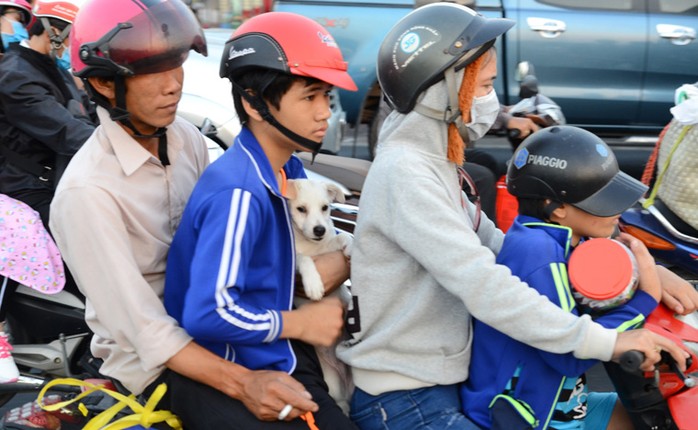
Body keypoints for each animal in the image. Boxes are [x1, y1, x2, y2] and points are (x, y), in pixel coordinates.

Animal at [286, 178, 354, 414]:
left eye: (325, 207)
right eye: (301, 209)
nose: (319, 230)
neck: (311, 246)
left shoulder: (327, 245)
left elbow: (341, 237)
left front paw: (350, 245)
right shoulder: (295, 259)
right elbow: (303, 259)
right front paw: (314, 284)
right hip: (332, 383)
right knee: (341, 403)